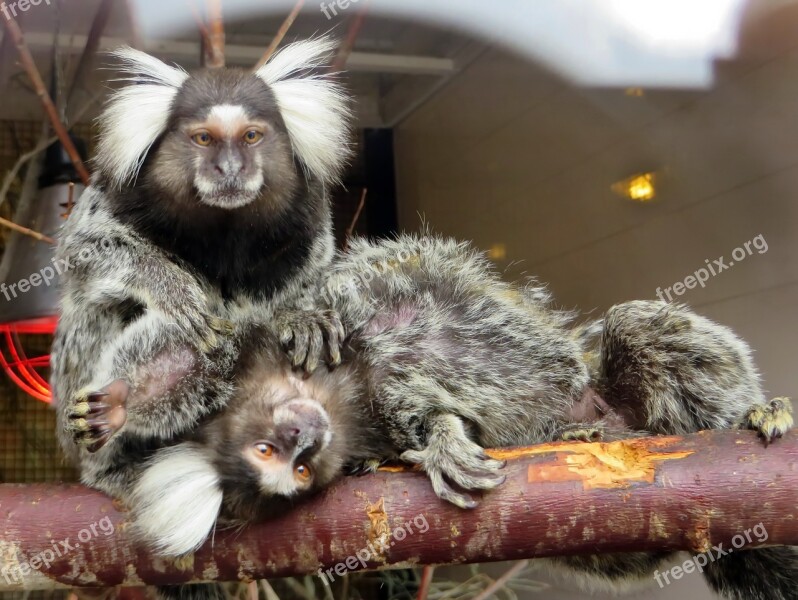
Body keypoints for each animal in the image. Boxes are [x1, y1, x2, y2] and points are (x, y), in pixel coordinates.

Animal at [49, 36, 350, 496]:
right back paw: (110, 454)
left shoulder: (307, 214)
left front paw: (300, 317)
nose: (229, 169)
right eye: (204, 138)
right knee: (101, 310)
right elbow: (85, 248)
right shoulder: (117, 193)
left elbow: (310, 269)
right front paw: (174, 290)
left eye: (251, 136)